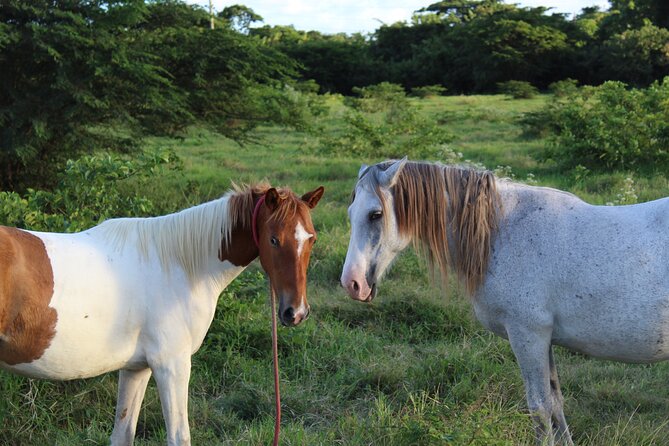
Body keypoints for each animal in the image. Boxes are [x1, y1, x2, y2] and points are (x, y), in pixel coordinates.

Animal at [0, 183, 324, 444]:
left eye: (312, 238)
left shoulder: (136, 368)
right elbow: (179, 437)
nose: (295, 312)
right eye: (274, 239)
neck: (178, 264)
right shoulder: (172, 365)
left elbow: (123, 435)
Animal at [342, 159, 668, 444]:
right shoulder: (543, 339)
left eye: (375, 214)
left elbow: (540, 408)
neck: (501, 231)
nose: (351, 283)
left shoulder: (527, 336)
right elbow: (556, 402)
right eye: (350, 212)